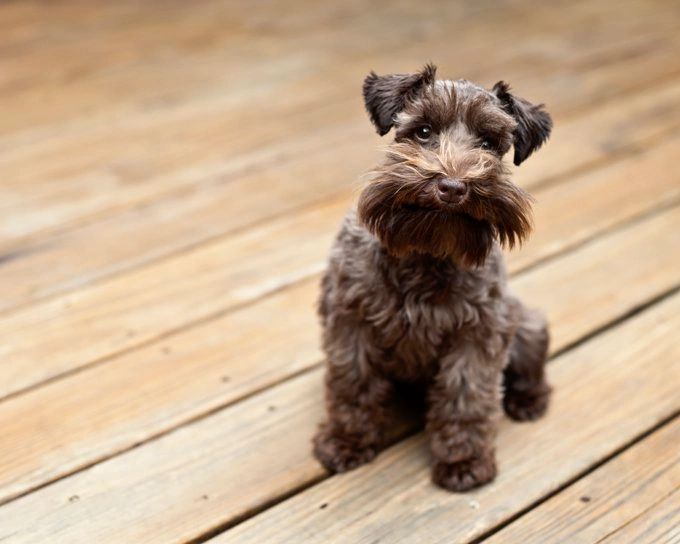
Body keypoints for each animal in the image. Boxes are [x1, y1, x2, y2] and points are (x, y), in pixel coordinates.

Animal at [314, 63, 552, 492]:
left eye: (489, 142)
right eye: (423, 130)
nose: (452, 186)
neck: (425, 253)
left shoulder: (478, 335)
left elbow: (466, 397)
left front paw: (464, 461)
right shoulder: (349, 320)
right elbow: (352, 384)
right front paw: (346, 440)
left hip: (525, 325)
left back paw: (528, 401)